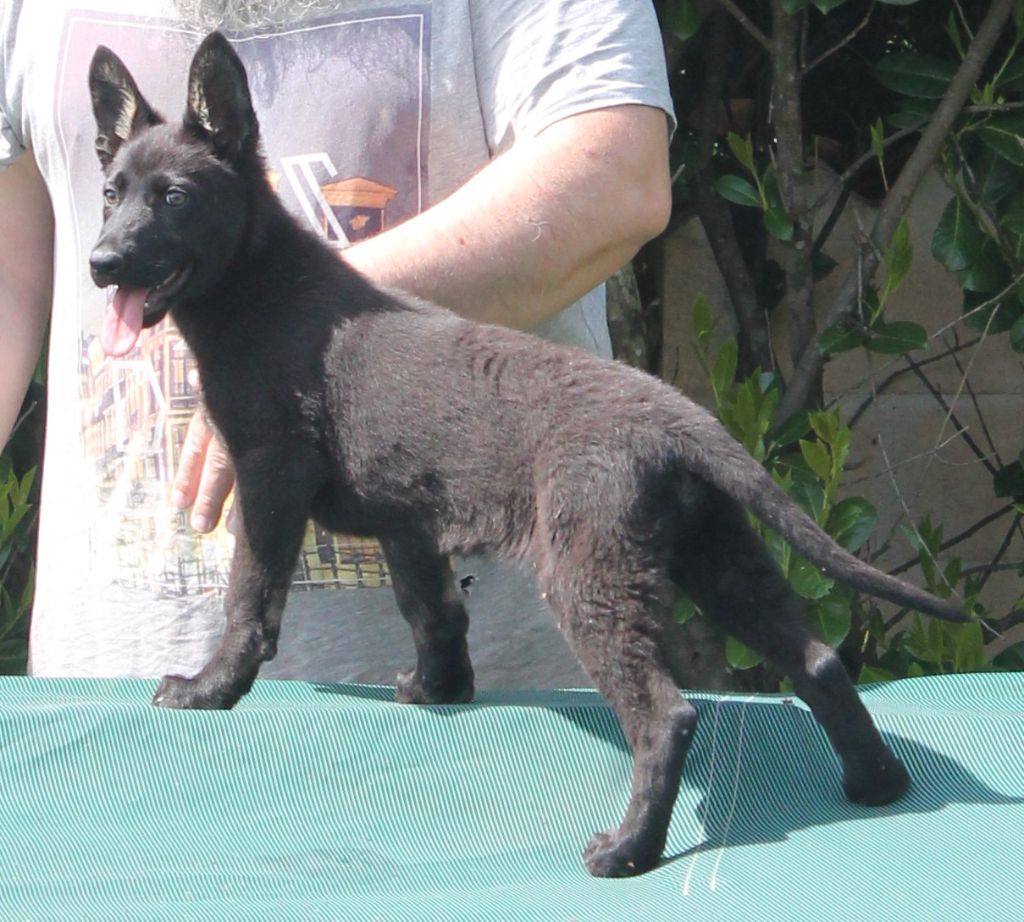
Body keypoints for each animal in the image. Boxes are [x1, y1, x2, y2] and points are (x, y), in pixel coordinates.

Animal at [88, 33, 967, 877]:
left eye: (174, 197)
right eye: (110, 192)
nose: (99, 264)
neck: (259, 285)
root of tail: (683, 421)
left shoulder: (269, 476)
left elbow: (250, 599)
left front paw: (207, 690)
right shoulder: (408, 519)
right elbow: (433, 610)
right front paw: (438, 690)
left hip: (590, 577)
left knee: (669, 715)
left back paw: (627, 851)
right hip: (717, 556)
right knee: (818, 661)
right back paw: (877, 784)